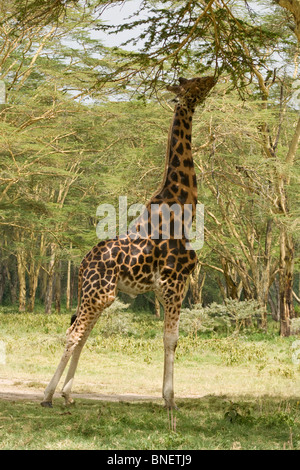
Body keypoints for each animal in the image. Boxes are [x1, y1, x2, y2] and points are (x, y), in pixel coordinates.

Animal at [41, 75, 217, 410]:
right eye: (194, 82)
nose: (214, 77)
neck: (182, 205)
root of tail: (82, 266)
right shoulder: (174, 282)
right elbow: (171, 339)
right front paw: (170, 400)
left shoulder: (173, 286)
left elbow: (171, 339)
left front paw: (168, 397)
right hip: (98, 293)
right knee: (73, 334)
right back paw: (47, 396)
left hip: (98, 295)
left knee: (82, 333)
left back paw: (68, 394)